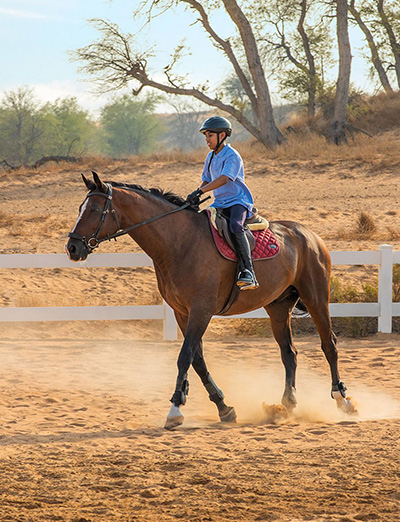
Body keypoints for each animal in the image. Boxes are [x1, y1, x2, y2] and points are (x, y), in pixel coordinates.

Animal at [66, 171, 356, 426]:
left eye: (94, 210)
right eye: (81, 208)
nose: (73, 247)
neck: (179, 242)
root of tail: (310, 235)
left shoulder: (201, 311)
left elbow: (185, 357)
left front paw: (175, 409)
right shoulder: (182, 313)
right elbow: (197, 360)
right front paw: (224, 408)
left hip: (316, 299)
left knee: (329, 345)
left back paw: (343, 400)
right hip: (278, 307)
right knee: (289, 353)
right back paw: (286, 405)